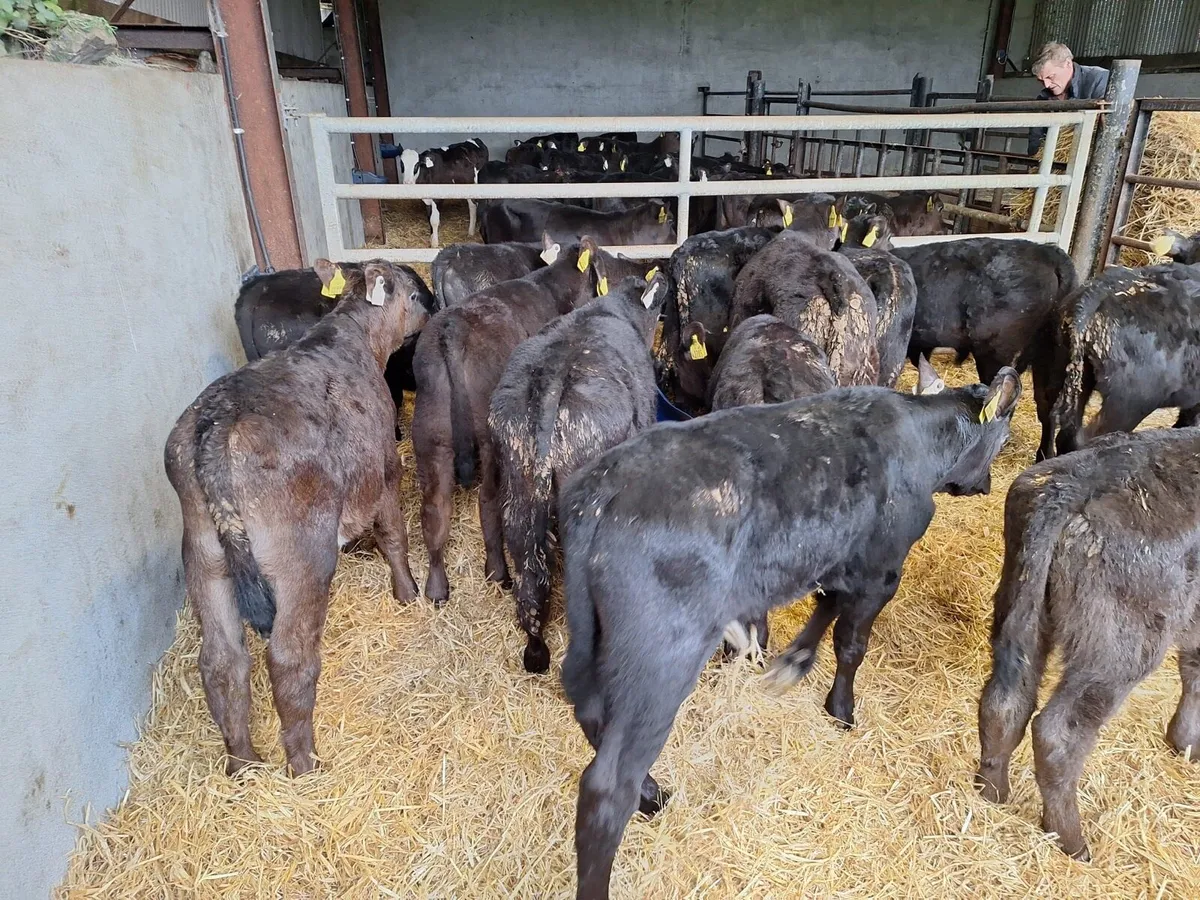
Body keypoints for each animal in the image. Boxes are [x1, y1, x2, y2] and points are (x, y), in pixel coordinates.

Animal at [413, 238, 653, 605]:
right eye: (605, 259)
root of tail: (453, 328)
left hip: (430, 439)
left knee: (435, 511)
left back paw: (437, 589)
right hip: (489, 444)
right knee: (488, 503)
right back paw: (498, 572)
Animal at [559, 365, 1021, 899]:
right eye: (1002, 439)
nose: (986, 485)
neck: (919, 435)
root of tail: (602, 487)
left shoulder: (836, 557)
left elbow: (825, 609)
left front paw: (794, 662)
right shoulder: (882, 569)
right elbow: (851, 643)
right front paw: (841, 709)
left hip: (589, 638)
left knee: (590, 712)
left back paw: (651, 794)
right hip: (661, 659)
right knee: (607, 785)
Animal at [976, 426, 1200, 862]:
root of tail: (1071, 485)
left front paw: (1183, 743)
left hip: (1018, 607)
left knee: (1004, 703)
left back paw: (991, 794)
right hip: (1117, 653)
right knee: (1058, 733)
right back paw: (1072, 842)